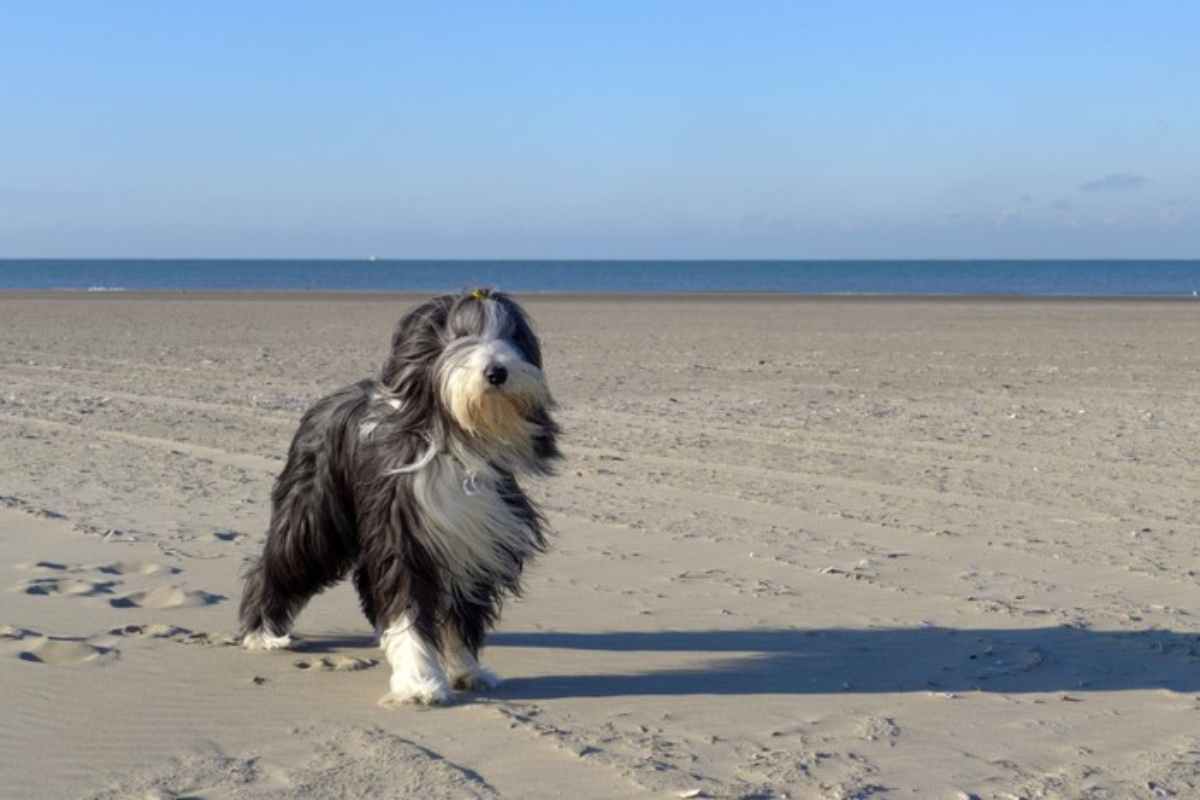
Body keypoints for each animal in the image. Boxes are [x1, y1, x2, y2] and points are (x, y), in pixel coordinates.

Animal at [241, 291, 564, 705]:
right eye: (460, 336)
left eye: (512, 336)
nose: (497, 372)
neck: (457, 443)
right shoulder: (403, 536)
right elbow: (407, 606)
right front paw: (418, 681)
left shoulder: (475, 542)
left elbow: (462, 616)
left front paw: (467, 671)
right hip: (313, 513)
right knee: (281, 561)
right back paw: (262, 632)